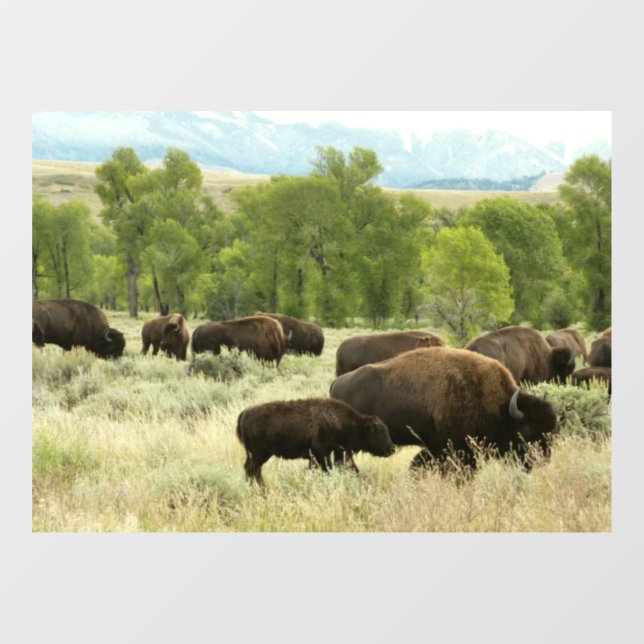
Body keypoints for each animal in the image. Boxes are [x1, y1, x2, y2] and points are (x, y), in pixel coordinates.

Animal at [236, 398, 395, 485]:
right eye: (379, 432)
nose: (392, 449)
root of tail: (244, 413)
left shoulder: (324, 455)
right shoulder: (321, 453)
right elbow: (328, 470)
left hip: (260, 454)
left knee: (252, 470)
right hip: (259, 453)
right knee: (252, 470)